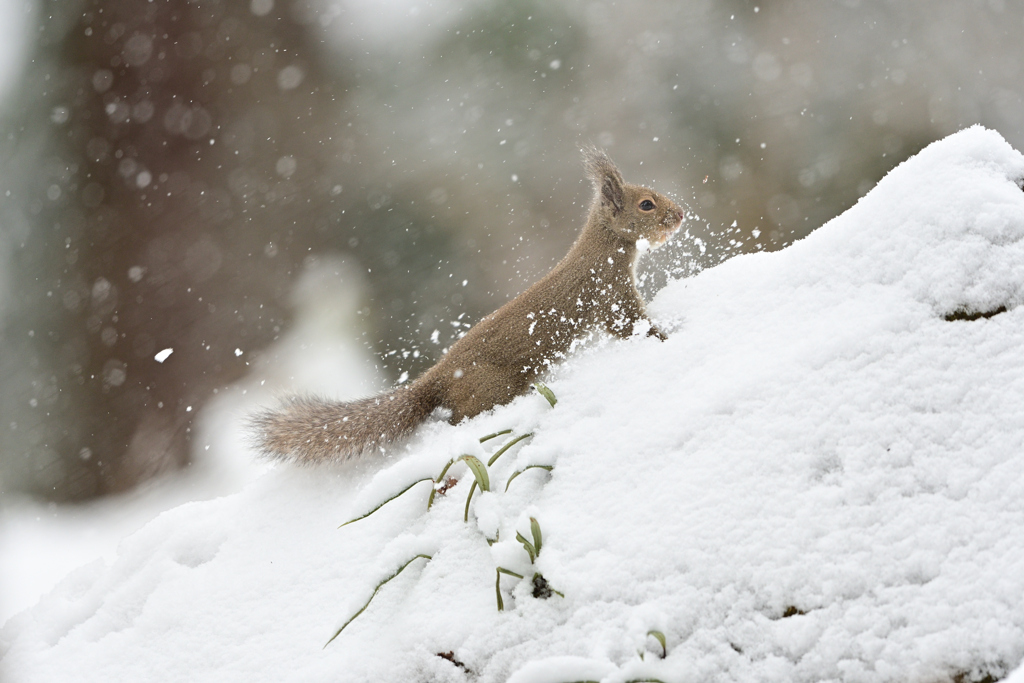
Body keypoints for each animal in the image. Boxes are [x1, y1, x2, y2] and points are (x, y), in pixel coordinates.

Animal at [248, 148, 684, 464]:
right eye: (646, 205)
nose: (680, 215)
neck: (604, 247)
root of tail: (438, 377)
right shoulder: (610, 295)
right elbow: (633, 326)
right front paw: (664, 336)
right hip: (489, 390)